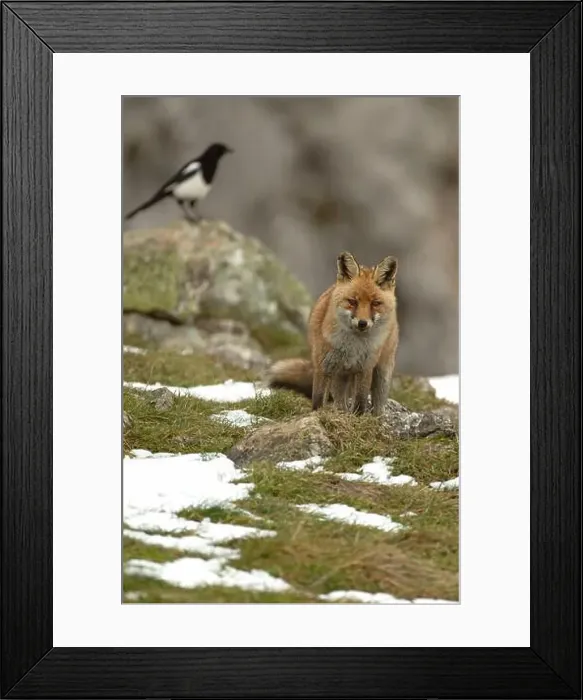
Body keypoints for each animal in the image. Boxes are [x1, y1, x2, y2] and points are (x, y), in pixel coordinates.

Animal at [266, 251, 399, 415]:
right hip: (340, 375)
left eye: (375, 303)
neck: (353, 346)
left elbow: (360, 401)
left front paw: (358, 417)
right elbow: (318, 399)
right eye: (352, 301)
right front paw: (318, 415)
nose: (362, 323)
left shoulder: (365, 368)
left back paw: (376, 417)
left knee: (377, 402)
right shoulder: (323, 366)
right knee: (340, 400)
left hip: (382, 372)